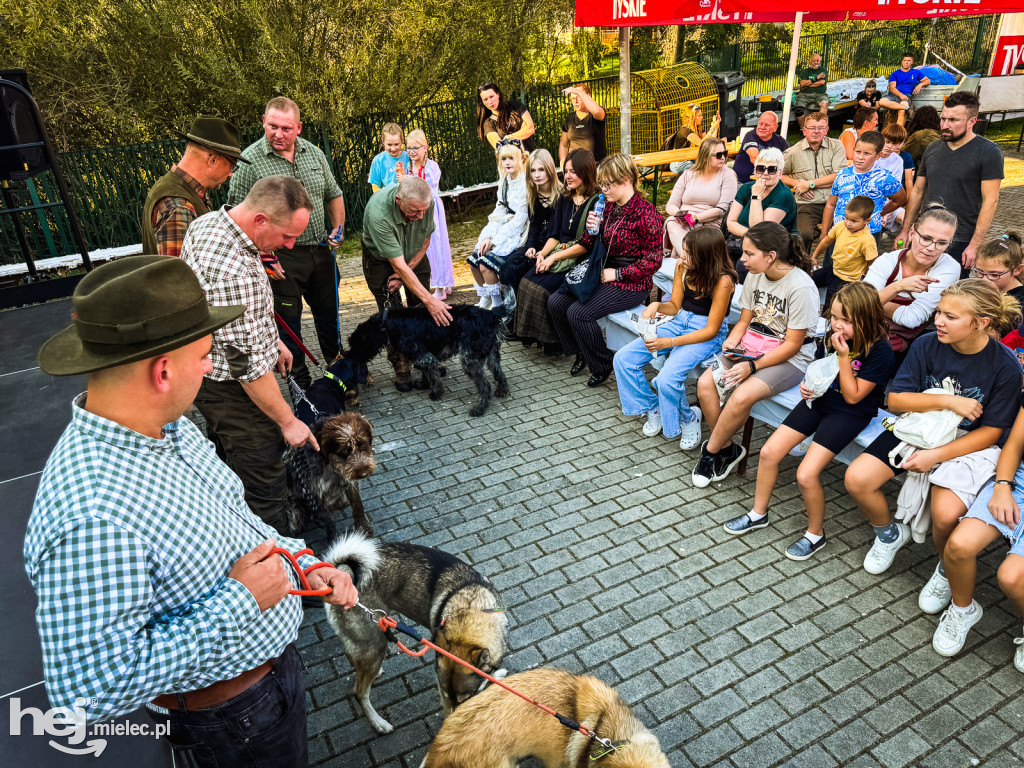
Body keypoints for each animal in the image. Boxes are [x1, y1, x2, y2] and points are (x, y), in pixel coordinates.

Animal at [346, 305, 509, 415]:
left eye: (355, 345)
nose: (349, 356)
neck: (386, 323)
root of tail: (490, 314)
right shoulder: (424, 356)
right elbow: (427, 372)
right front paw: (424, 384)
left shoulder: (425, 356)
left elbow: (433, 376)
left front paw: (435, 393)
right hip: (492, 355)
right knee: (500, 374)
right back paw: (502, 391)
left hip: (469, 360)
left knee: (485, 386)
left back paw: (479, 409)